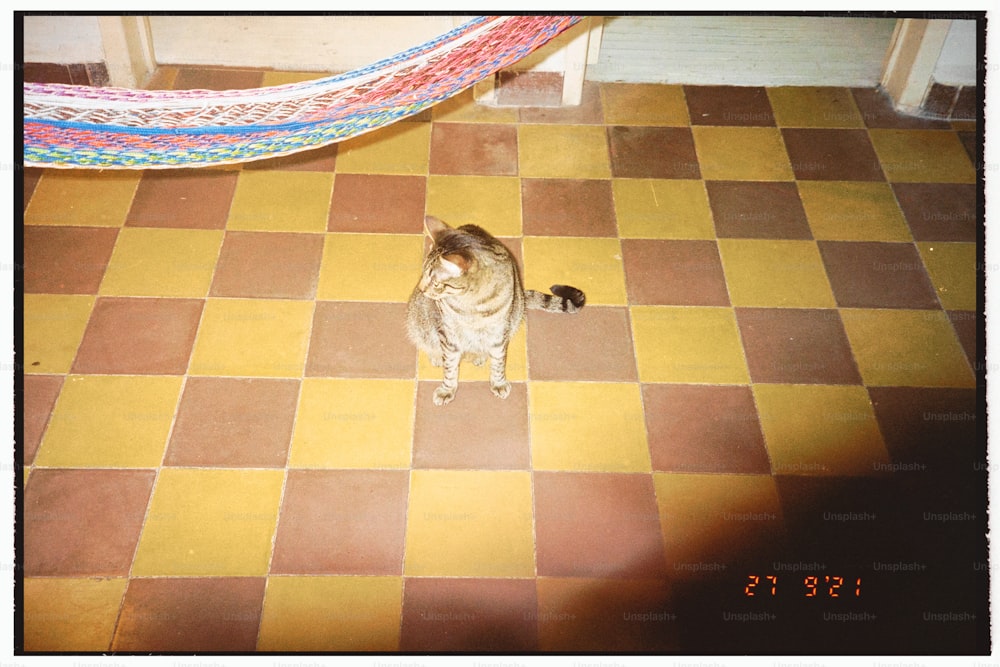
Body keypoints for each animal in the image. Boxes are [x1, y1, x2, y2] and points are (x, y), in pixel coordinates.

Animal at [406, 218, 584, 408]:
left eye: (436, 283)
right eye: (423, 274)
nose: (421, 288)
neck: (474, 306)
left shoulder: (500, 331)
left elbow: (498, 362)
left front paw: (498, 383)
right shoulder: (448, 333)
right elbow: (450, 366)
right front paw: (447, 389)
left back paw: (479, 355)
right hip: (419, 322)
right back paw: (438, 356)